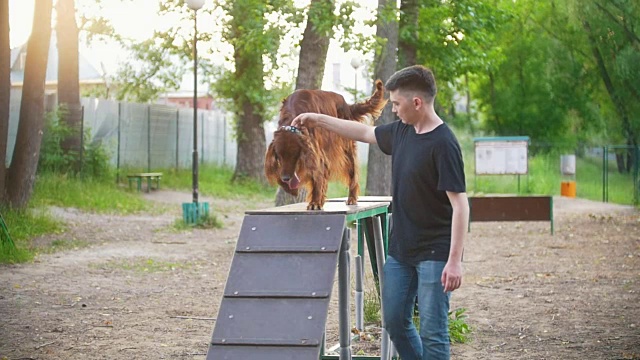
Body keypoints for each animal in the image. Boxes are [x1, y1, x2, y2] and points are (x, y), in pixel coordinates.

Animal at [264, 80, 384, 210]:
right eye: (278, 156)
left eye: (294, 155)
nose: (285, 178)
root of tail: (345, 104)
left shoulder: (316, 153)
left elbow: (317, 177)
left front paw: (315, 202)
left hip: (346, 147)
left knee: (353, 174)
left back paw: (351, 198)